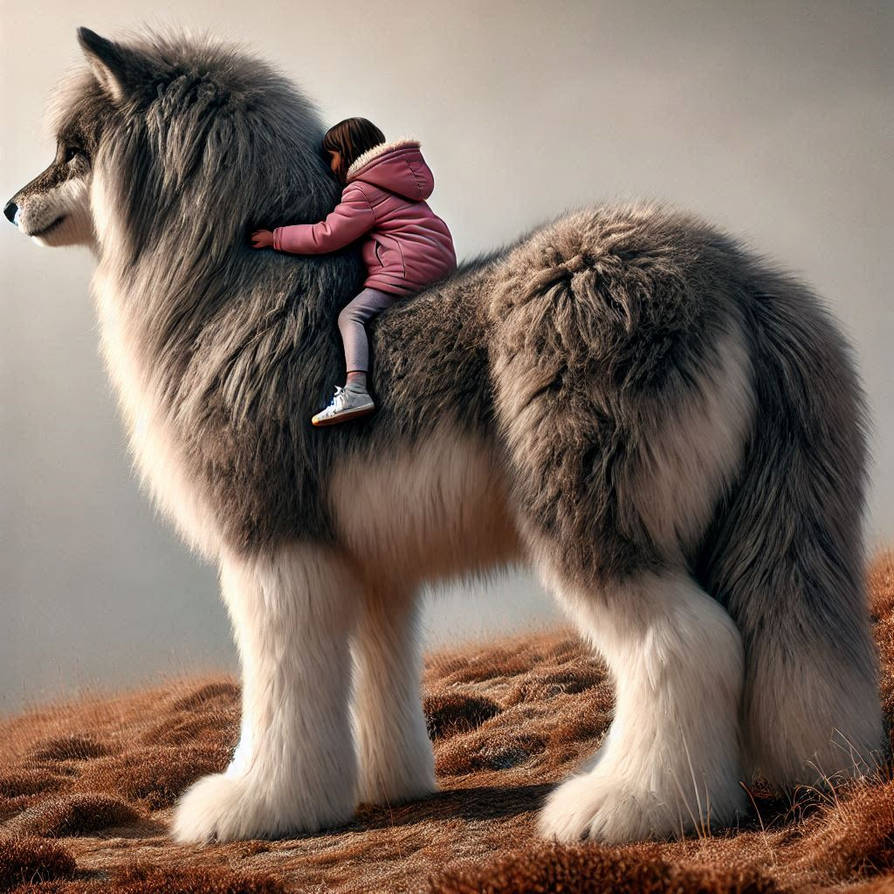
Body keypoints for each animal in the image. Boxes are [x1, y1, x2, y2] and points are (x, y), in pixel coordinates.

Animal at [5, 27, 884, 845]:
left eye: (71, 151)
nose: (11, 206)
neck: (231, 290)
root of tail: (738, 274)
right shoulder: (371, 569)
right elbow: (377, 679)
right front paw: (383, 788)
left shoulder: (273, 542)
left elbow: (281, 682)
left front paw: (257, 805)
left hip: (590, 516)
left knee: (691, 641)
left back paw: (635, 807)